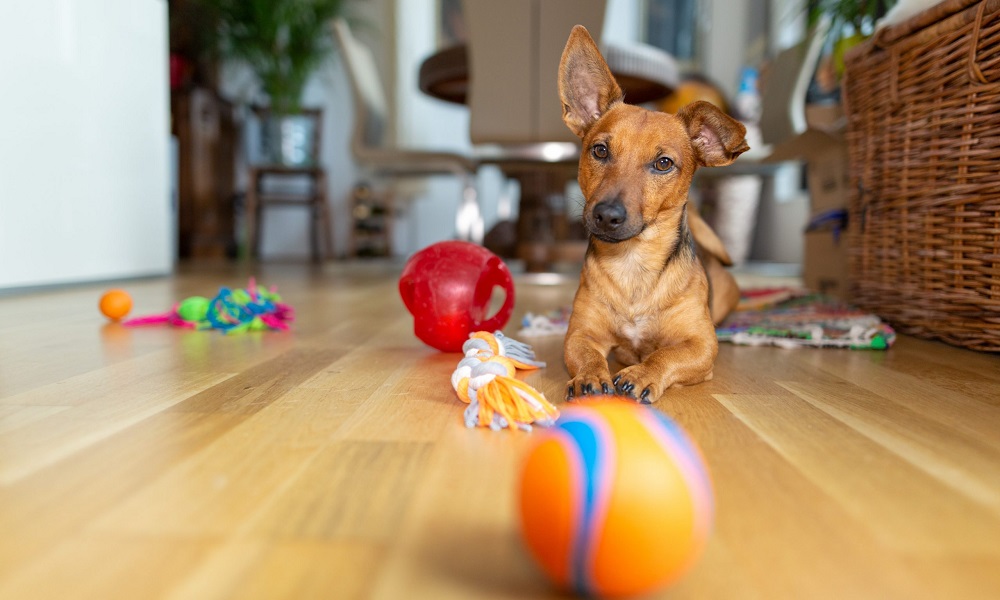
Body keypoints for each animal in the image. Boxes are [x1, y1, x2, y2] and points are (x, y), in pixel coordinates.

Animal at [560, 27, 748, 404]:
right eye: (599, 150)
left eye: (663, 163)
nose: (606, 215)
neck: (633, 264)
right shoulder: (580, 334)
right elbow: (587, 355)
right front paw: (590, 376)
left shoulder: (701, 345)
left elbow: (666, 355)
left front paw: (643, 373)